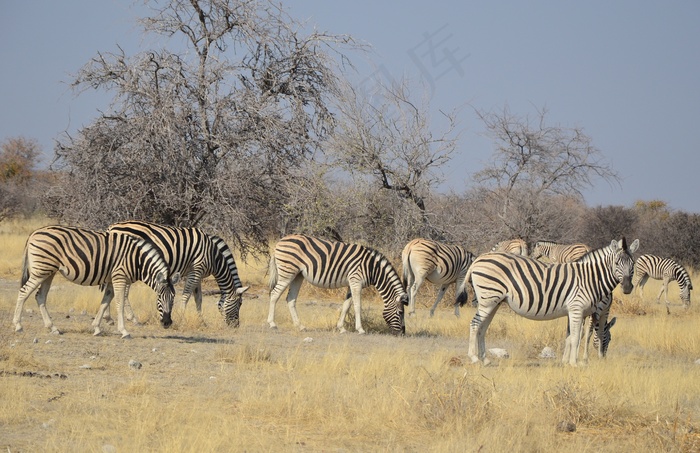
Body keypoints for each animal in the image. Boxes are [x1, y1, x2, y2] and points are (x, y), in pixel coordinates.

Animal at [12, 224, 179, 338]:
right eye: (159, 298)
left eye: (173, 299)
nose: (167, 323)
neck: (137, 260)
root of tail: (34, 232)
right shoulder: (119, 277)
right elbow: (119, 303)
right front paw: (124, 331)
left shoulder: (111, 280)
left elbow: (105, 301)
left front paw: (97, 328)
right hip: (41, 270)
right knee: (23, 292)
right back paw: (18, 325)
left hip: (49, 272)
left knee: (40, 296)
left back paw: (53, 328)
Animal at [106, 219, 249, 324]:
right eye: (239, 303)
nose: (235, 326)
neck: (214, 256)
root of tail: (111, 227)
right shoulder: (196, 270)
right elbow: (186, 295)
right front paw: (180, 317)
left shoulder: (198, 273)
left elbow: (198, 298)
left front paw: (201, 321)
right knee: (122, 292)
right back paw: (132, 318)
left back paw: (109, 318)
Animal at [268, 235, 410, 334]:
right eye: (400, 312)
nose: (403, 333)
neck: (372, 268)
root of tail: (280, 241)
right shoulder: (356, 281)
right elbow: (357, 305)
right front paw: (360, 329)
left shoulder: (351, 283)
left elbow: (346, 306)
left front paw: (341, 328)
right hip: (287, 272)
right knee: (274, 294)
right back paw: (272, 324)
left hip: (297, 275)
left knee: (290, 299)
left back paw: (300, 326)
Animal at [462, 237, 636, 364]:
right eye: (616, 263)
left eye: (633, 264)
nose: (627, 288)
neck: (589, 278)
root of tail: (479, 259)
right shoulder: (577, 309)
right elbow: (578, 337)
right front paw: (575, 363)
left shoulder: (576, 311)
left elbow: (571, 337)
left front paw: (567, 362)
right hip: (488, 300)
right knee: (475, 324)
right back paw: (474, 358)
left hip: (493, 302)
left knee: (482, 327)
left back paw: (485, 359)